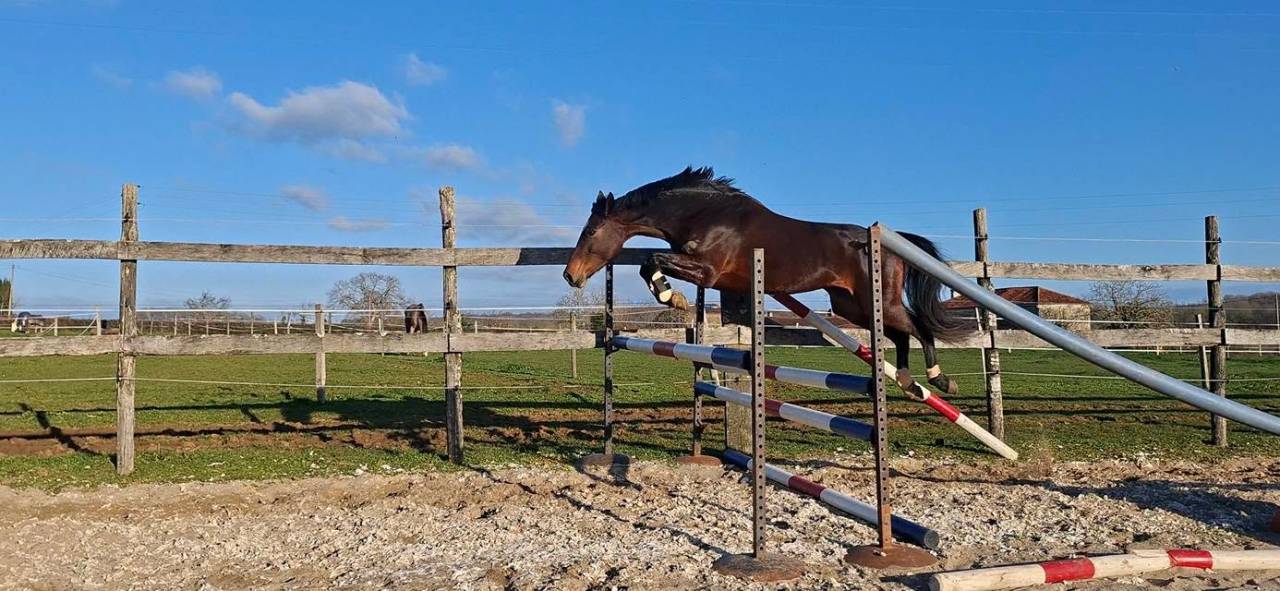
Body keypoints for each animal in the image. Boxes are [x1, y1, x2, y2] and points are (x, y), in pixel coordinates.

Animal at [562, 166, 970, 395]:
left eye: (592, 230)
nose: (571, 275)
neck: (704, 213)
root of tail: (887, 242)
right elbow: (649, 264)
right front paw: (672, 298)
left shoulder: (707, 271)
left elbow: (651, 261)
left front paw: (672, 298)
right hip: (850, 305)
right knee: (899, 334)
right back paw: (907, 381)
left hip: (878, 301)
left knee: (917, 327)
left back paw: (939, 379)